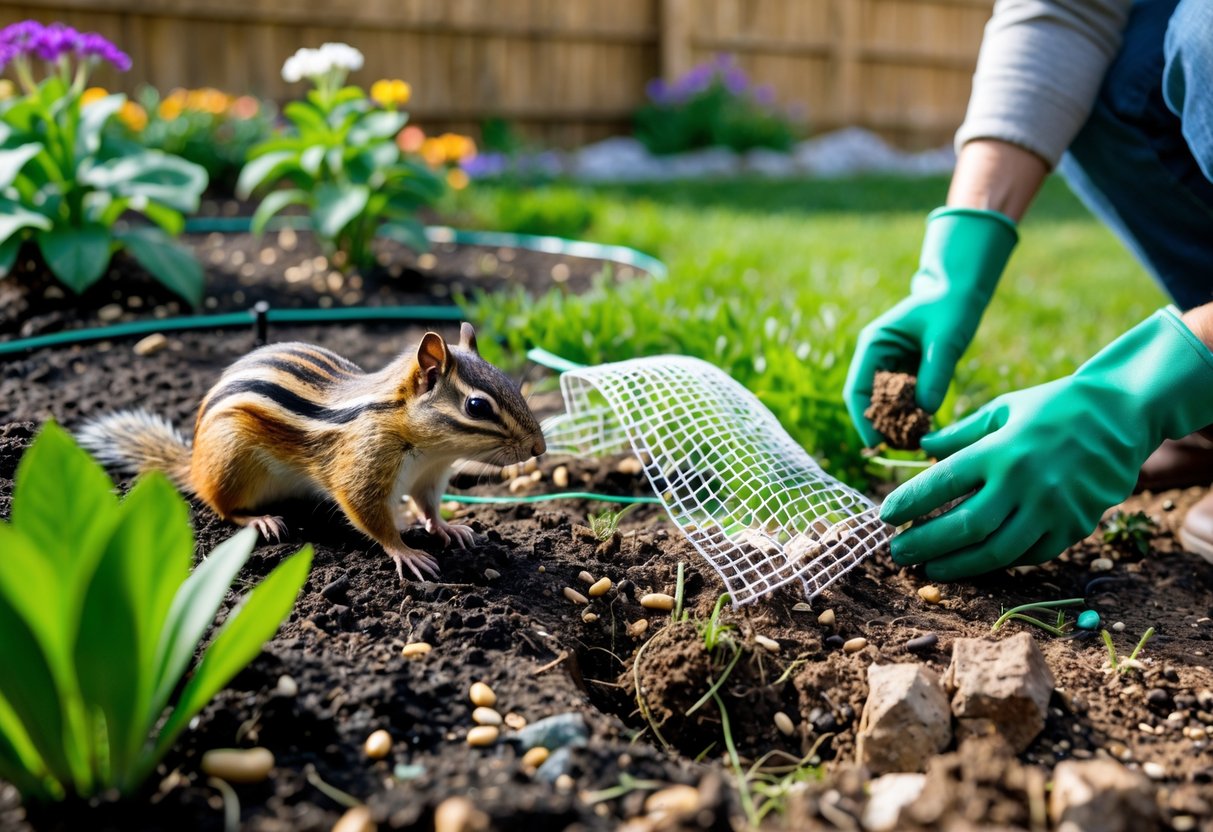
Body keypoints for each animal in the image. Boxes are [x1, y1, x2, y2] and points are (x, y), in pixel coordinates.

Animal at [77, 322, 546, 581]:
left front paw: (448, 528)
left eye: (509, 380)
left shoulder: (430, 477)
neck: (432, 449)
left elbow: (429, 507)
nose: (538, 447)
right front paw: (407, 552)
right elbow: (369, 515)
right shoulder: (363, 468)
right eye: (477, 406)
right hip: (231, 464)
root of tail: (193, 464)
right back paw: (260, 519)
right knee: (220, 504)